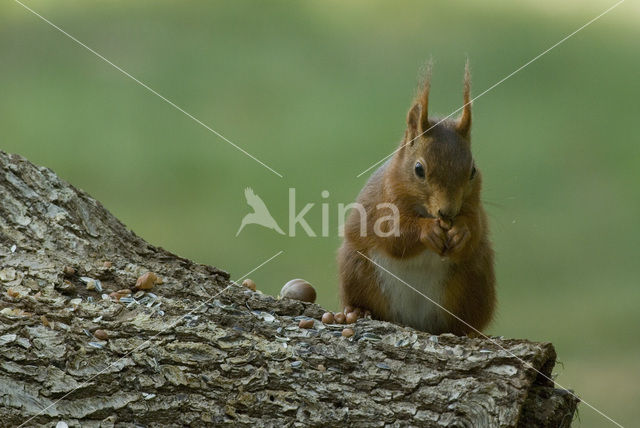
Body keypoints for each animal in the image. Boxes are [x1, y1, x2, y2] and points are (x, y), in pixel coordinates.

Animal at [338, 64, 498, 338]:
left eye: (473, 171)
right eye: (419, 169)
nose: (447, 212)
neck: (424, 210)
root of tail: (414, 321)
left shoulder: (474, 208)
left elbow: (475, 230)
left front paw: (462, 232)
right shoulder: (381, 204)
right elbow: (393, 235)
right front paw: (428, 230)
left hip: (475, 279)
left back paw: (467, 331)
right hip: (356, 267)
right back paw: (356, 311)